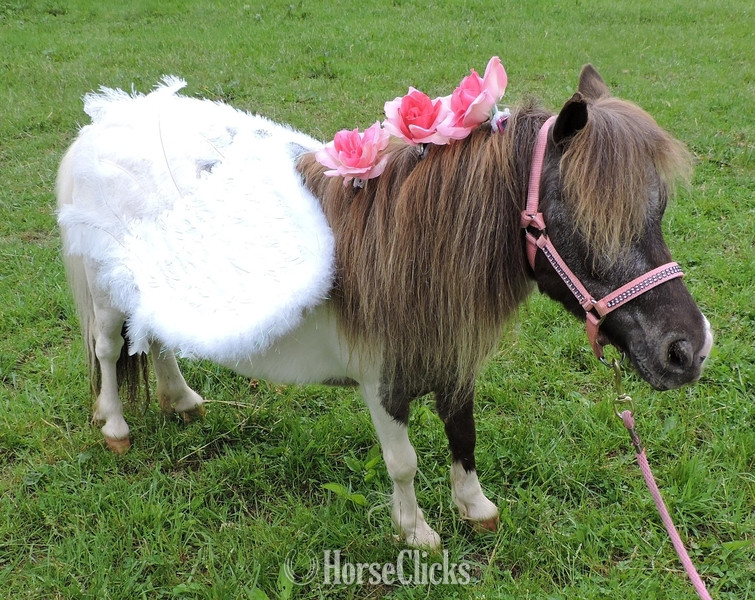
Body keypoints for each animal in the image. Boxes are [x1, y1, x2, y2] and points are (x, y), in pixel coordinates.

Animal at [57, 64, 713, 549]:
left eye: (658, 212)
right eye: (584, 223)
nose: (690, 348)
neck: (408, 249)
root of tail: (104, 124)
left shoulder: (450, 358)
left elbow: (463, 434)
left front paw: (476, 509)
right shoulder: (383, 383)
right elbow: (403, 461)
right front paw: (417, 533)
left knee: (157, 337)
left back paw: (182, 400)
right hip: (107, 296)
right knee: (111, 350)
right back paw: (115, 427)